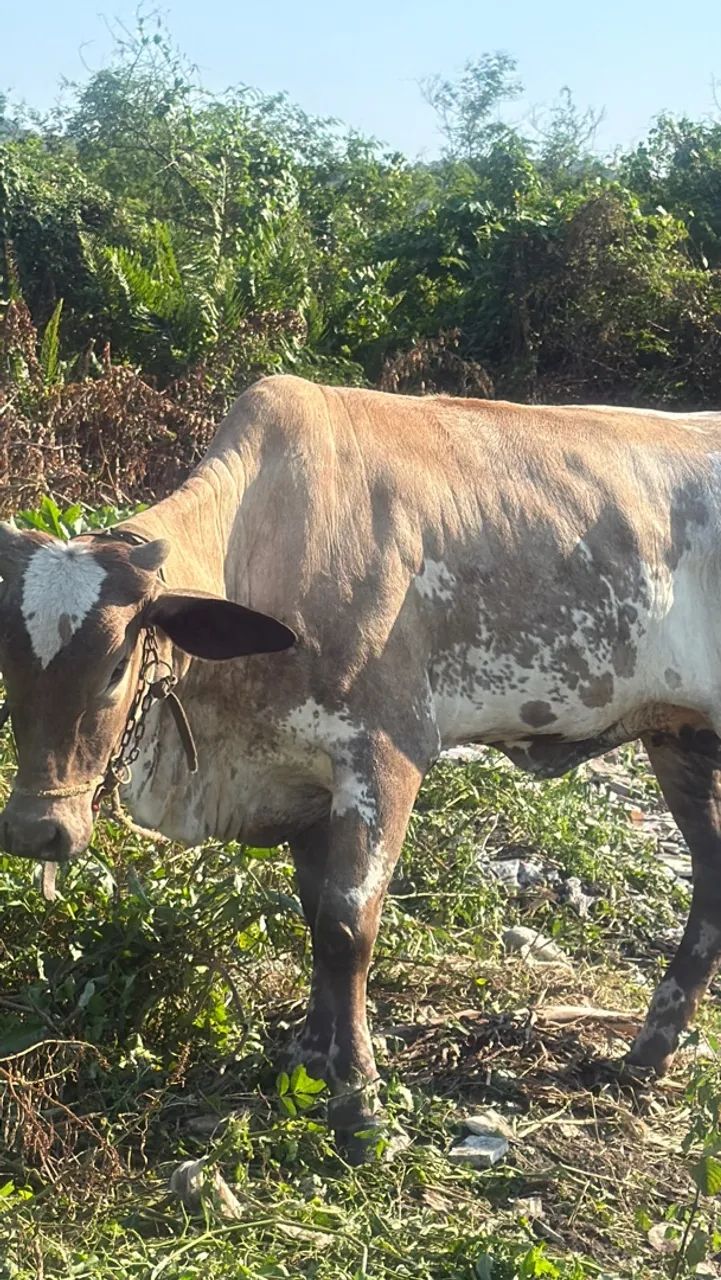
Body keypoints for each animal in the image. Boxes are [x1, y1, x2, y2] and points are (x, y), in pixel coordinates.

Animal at [0, 375, 719, 1154]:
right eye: (6, 662)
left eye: (115, 666)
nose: (36, 830)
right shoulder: (304, 776)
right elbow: (315, 912)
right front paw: (313, 1058)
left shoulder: (384, 754)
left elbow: (347, 927)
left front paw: (359, 1099)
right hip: (684, 737)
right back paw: (648, 1051)